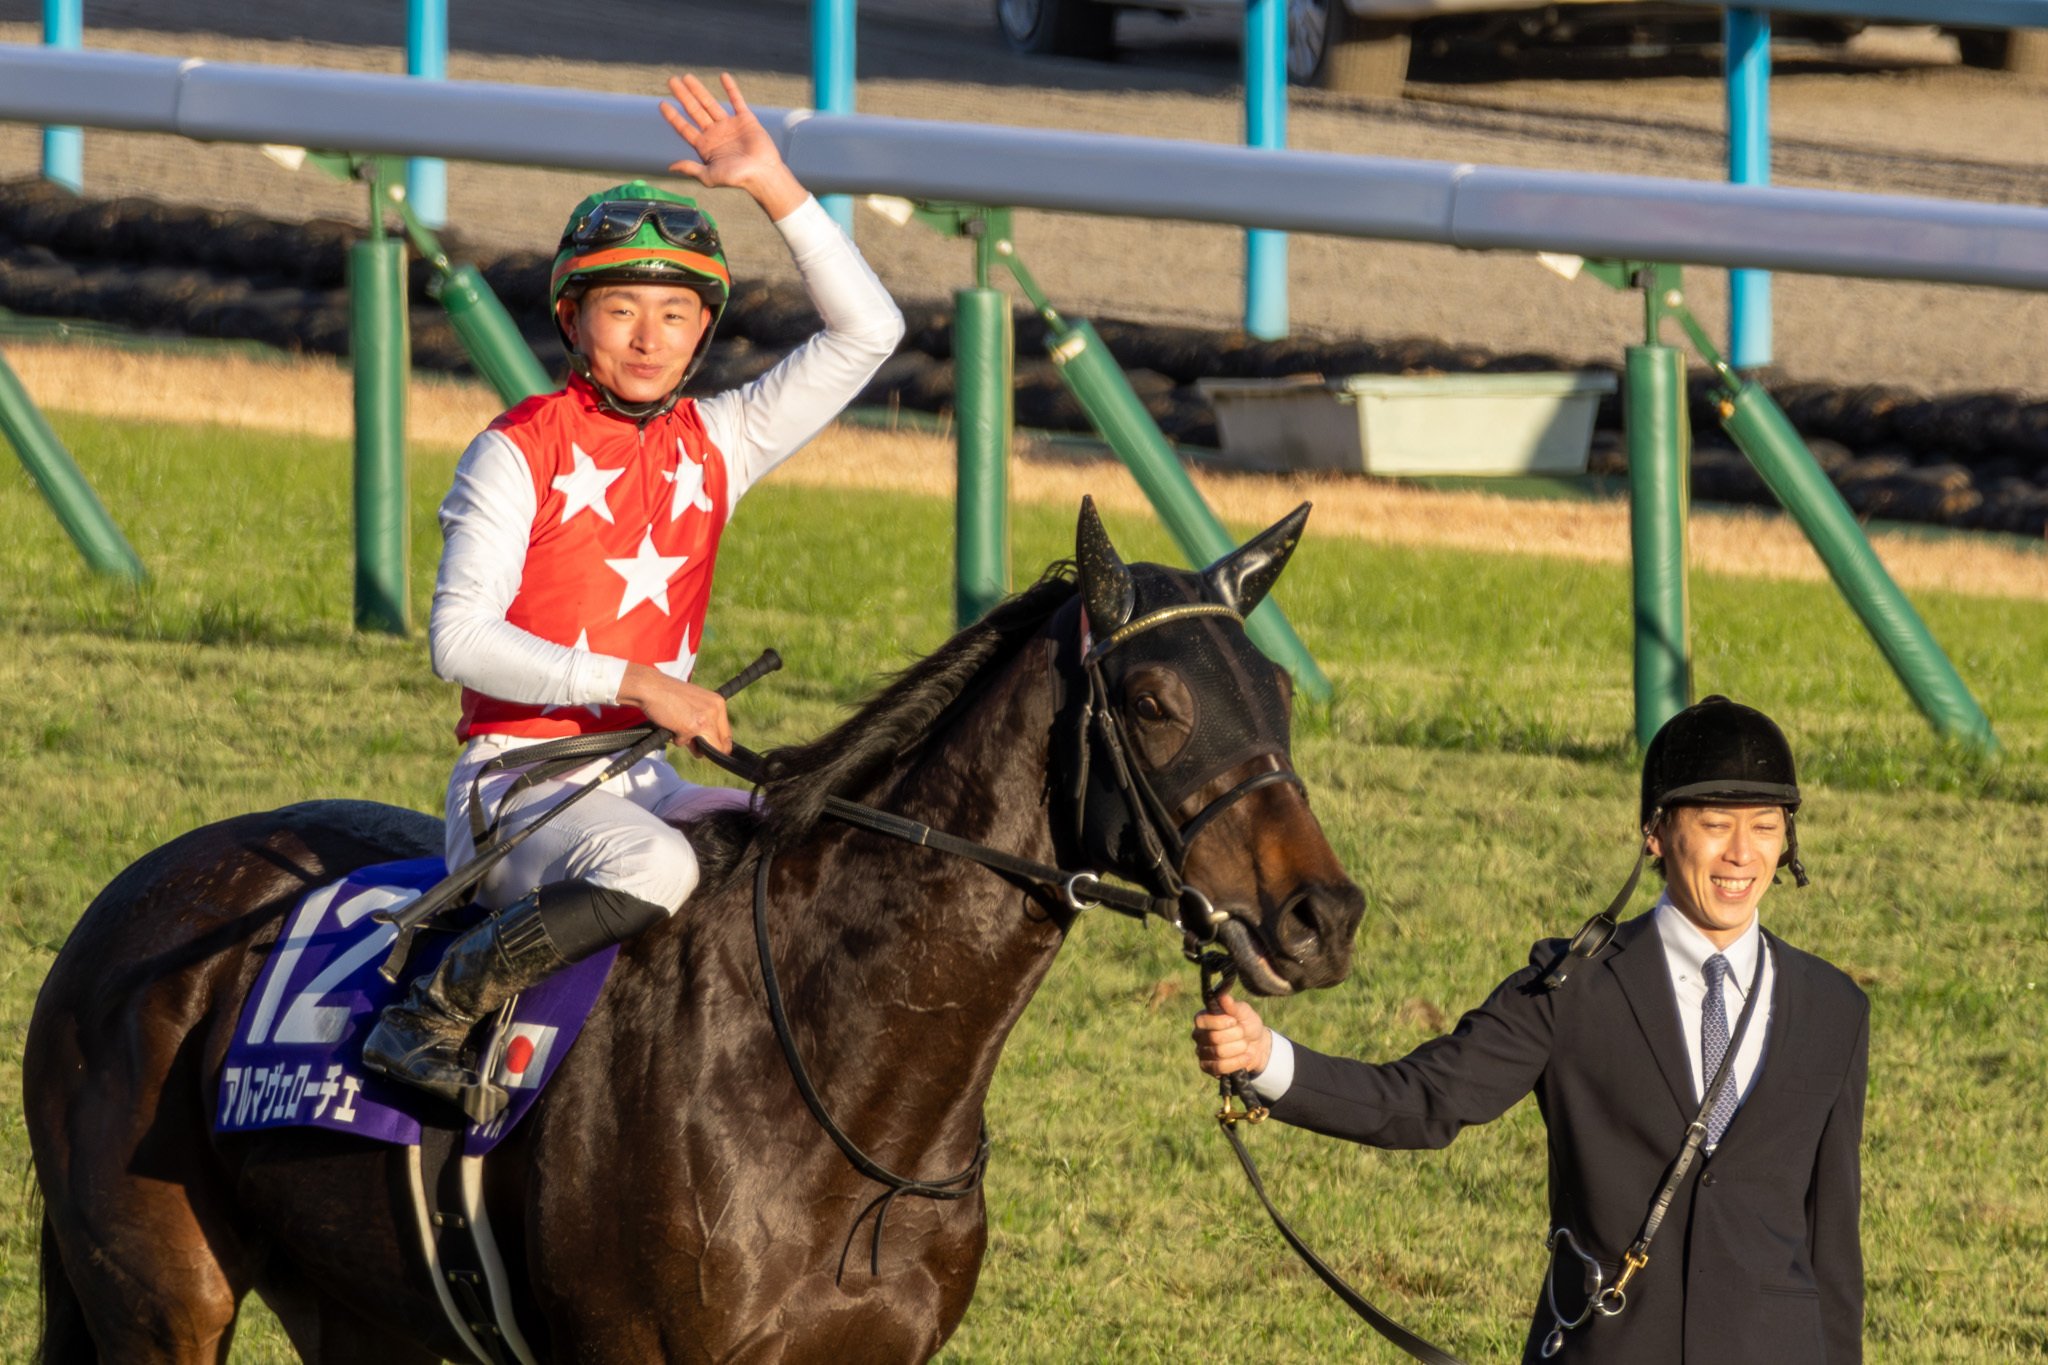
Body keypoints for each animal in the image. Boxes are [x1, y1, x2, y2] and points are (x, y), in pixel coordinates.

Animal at [24, 498, 1365, 1364]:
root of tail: (127, 901)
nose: (1321, 914)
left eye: (1279, 691)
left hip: (358, 1310)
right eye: (1151, 701)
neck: (835, 1077)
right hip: (161, 1298)